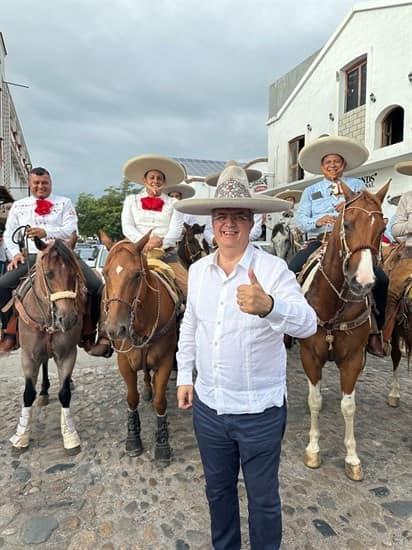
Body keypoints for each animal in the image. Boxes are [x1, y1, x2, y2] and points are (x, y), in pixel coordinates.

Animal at [10, 237, 86, 458]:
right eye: (49, 274)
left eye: (74, 273)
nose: (67, 319)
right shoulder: (28, 356)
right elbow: (28, 393)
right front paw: (21, 437)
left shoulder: (68, 354)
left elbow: (64, 393)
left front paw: (70, 437)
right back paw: (43, 392)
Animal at [102, 235, 178, 464]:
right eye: (105, 273)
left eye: (136, 275)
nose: (115, 329)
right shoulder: (124, 363)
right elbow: (131, 398)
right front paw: (133, 438)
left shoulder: (165, 361)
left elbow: (160, 401)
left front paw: (162, 445)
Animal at [300, 182, 390, 484]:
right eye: (347, 224)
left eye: (382, 228)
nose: (362, 282)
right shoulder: (310, 355)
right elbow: (314, 400)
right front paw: (313, 450)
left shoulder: (352, 359)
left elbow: (348, 406)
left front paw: (352, 458)